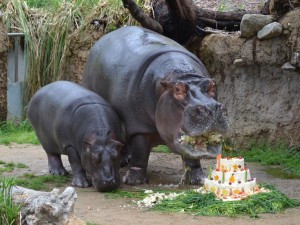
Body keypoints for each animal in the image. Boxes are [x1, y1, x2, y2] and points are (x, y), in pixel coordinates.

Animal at [81, 25, 229, 185]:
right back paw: (123, 162)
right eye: (178, 90)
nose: (211, 108)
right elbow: (140, 153)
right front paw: (133, 181)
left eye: (211, 86)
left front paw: (198, 180)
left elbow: (192, 156)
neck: (180, 75)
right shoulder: (139, 127)